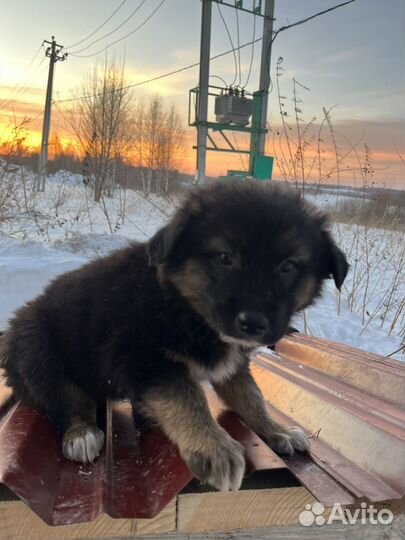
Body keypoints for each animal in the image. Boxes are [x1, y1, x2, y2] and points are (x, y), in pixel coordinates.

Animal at [0, 181, 348, 490]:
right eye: (225, 258)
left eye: (288, 267)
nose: (252, 323)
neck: (183, 306)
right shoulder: (142, 357)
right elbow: (187, 398)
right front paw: (214, 447)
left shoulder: (232, 366)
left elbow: (252, 397)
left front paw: (277, 430)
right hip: (37, 347)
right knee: (65, 396)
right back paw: (81, 433)